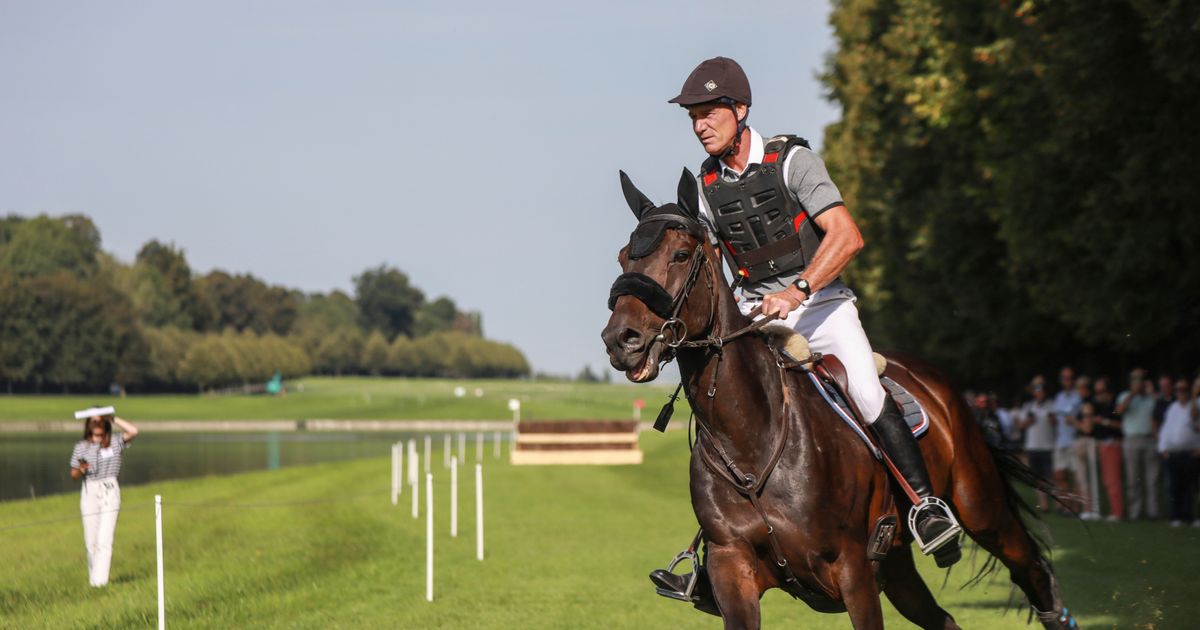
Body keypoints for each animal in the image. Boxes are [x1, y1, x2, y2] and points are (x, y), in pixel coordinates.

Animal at [600, 169, 1080, 624]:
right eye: (624, 257)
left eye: (680, 255)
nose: (620, 340)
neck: (751, 441)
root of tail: (936, 381)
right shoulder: (731, 569)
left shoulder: (852, 571)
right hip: (898, 566)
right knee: (943, 619)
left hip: (980, 507)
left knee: (1033, 571)